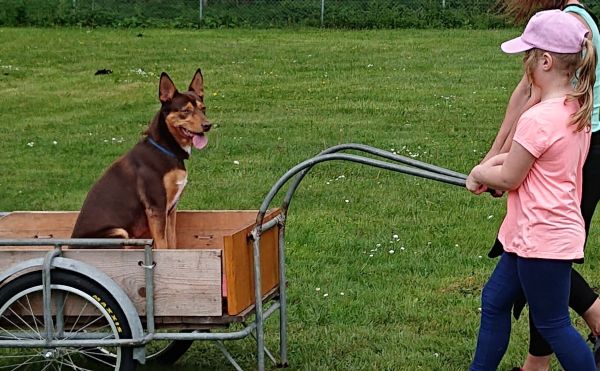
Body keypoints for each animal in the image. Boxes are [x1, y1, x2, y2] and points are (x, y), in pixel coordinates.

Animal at [72, 70, 211, 250]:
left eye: (203, 109)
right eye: (185, 111)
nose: (208, 125)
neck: (165, 148)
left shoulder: (171, 211)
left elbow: (172, 243)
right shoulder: (156, 208)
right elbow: (163, 245)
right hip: (118, 233)